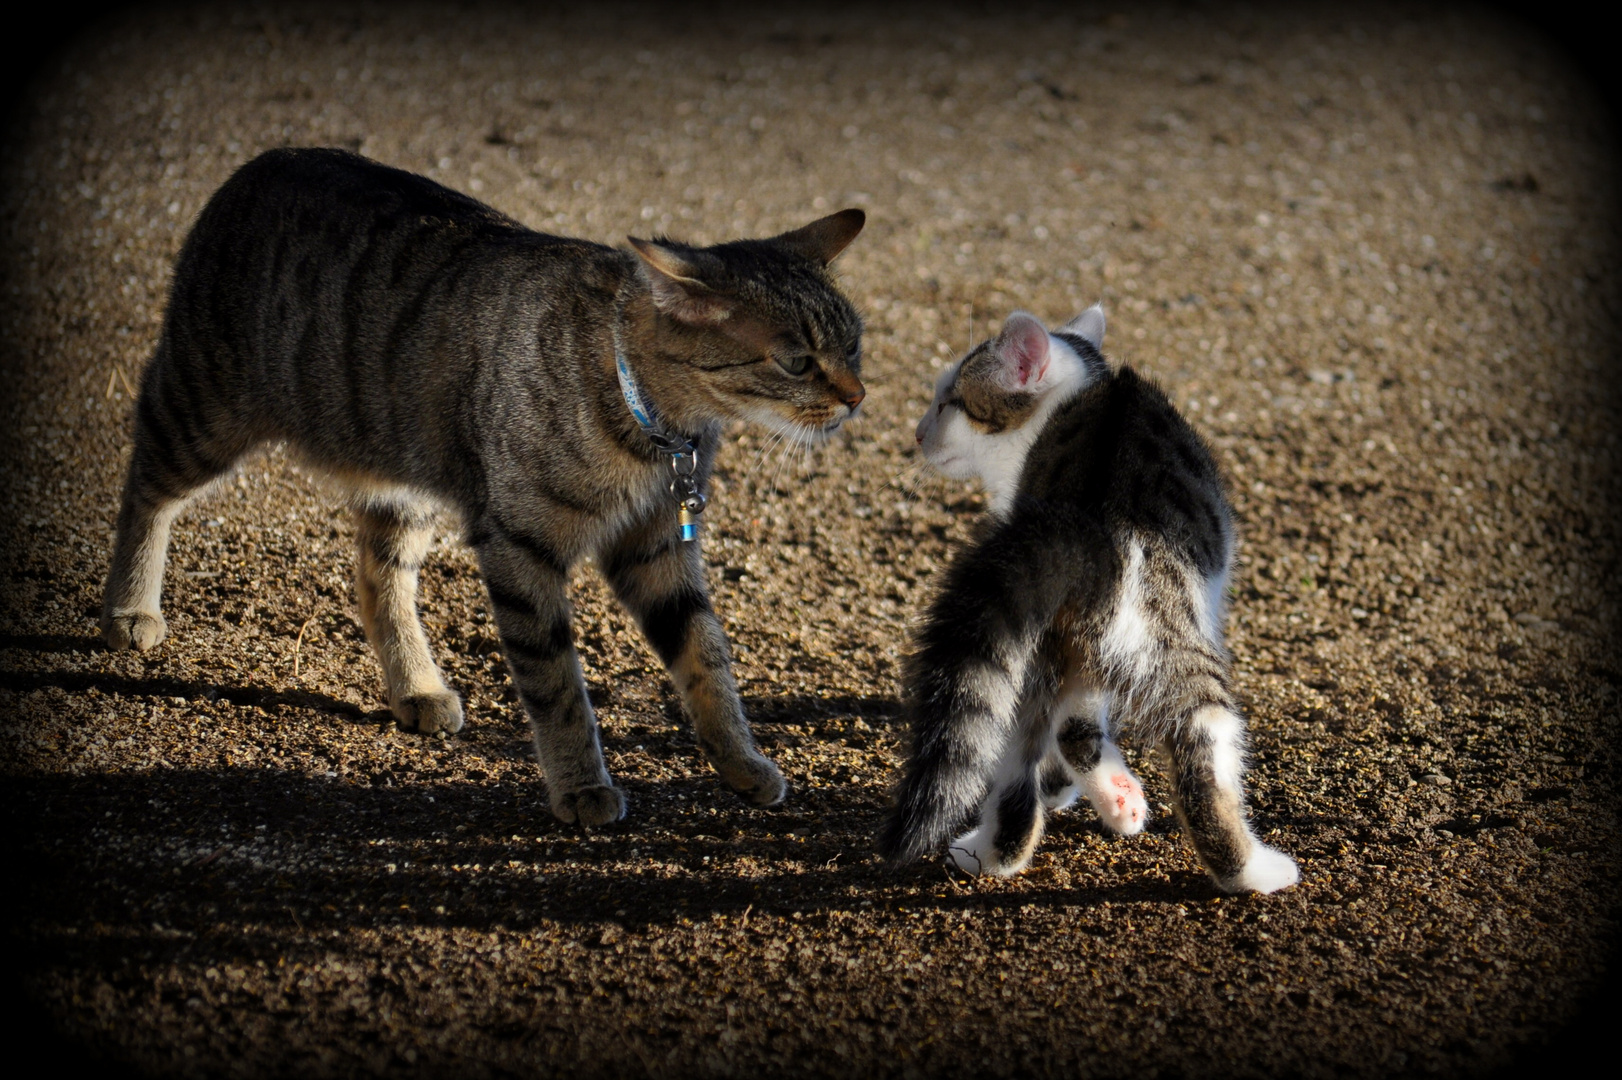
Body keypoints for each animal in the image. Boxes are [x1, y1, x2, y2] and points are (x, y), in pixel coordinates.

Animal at [101, 147, 869, 823]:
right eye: (797, 361)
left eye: (855, 344)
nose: (858, 396)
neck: (660, 428)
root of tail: (264, 160)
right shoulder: (520, 546)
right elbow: (558, 685)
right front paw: (582, 788)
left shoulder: (656, 548)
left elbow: (708, 657)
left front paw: (742, 762)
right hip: (203, 408)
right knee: (144, 480)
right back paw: (130, 607)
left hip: (404, 474)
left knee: (378, 576)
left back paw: (416, 686)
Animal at [882, 304, 1297, 888]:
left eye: (950, 401)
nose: (919, 434)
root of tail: (1089, 522)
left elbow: (1072, 730)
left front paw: (1098, 795)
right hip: (1176, 645)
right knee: (1203, 754)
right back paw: (1254, 871)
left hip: (1031, 633)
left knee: (1023, 747)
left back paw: (994, 852)